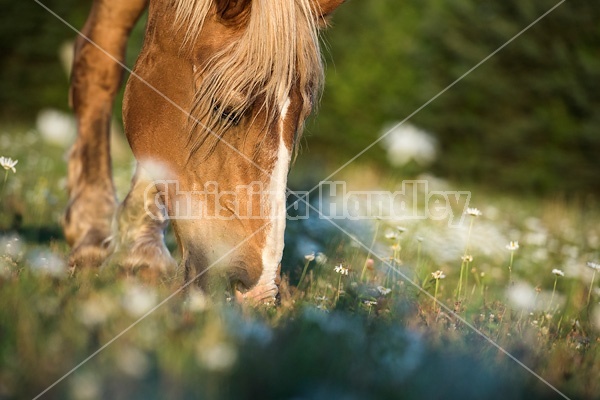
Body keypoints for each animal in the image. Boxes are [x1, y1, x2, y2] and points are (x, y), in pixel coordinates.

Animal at [63, 0, 344, 302]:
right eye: (226, 110)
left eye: (301, 118)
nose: (259, 292)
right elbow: (98, 62)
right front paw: (91, 232)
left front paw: (140, 253)